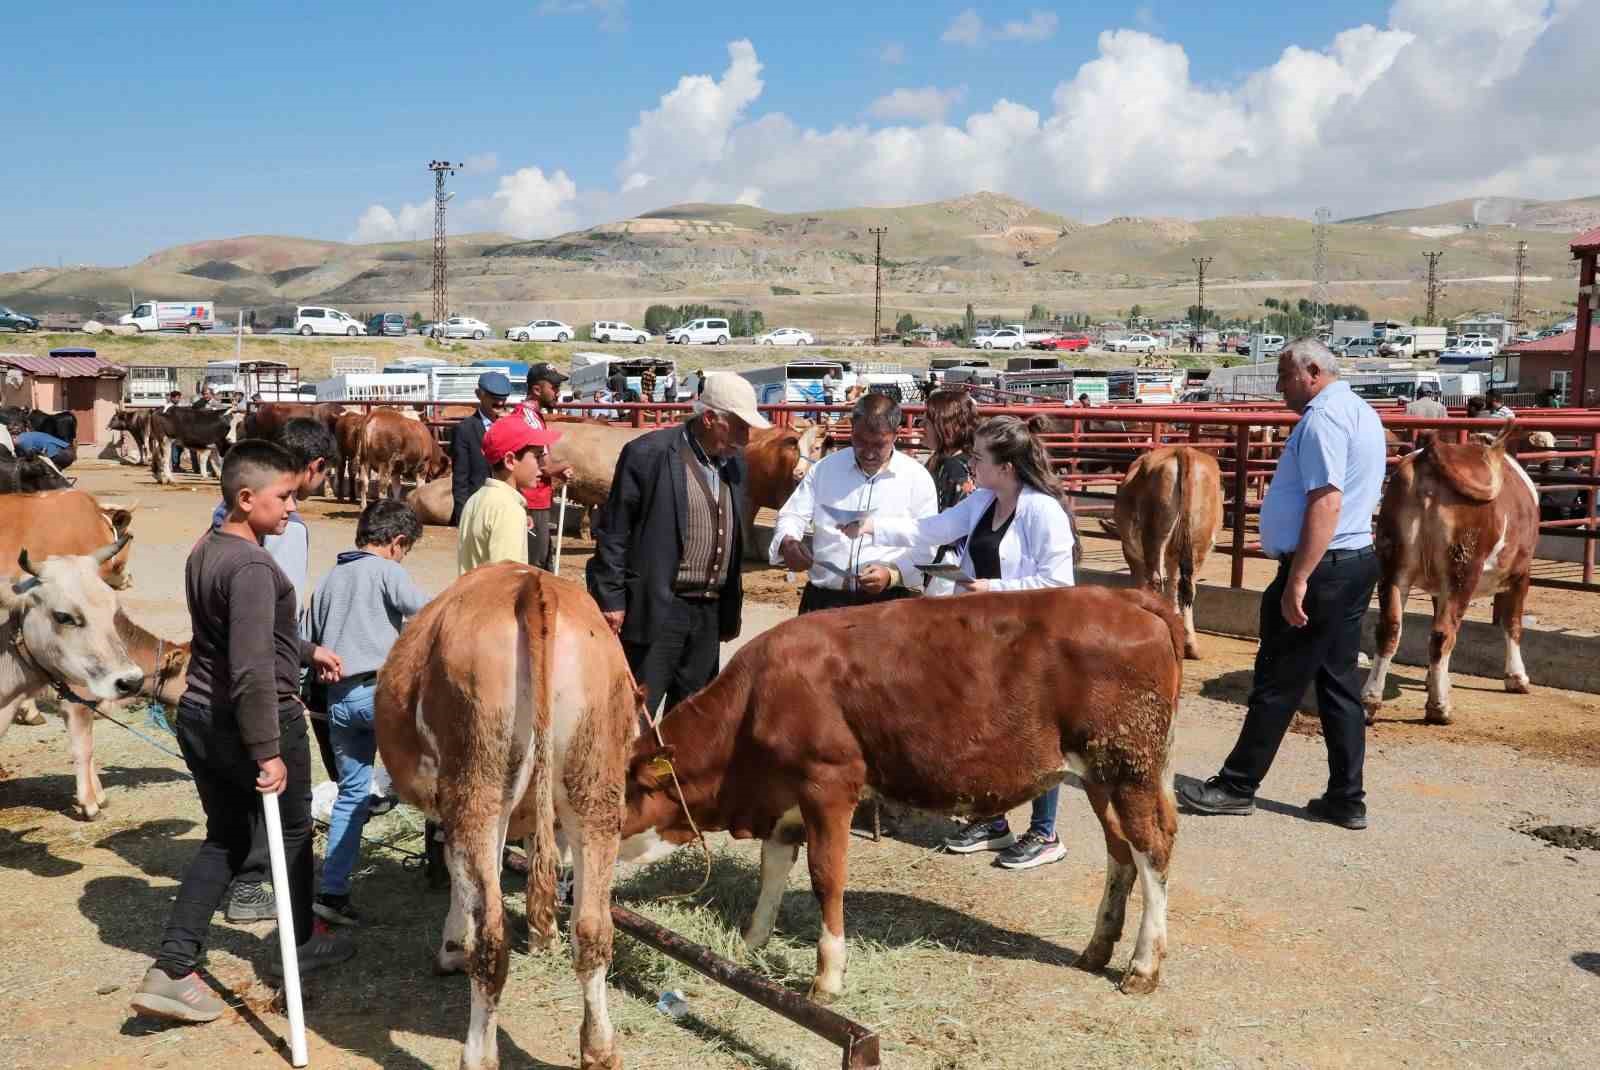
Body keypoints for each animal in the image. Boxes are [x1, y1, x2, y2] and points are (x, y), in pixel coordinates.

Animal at [377, 559, 640, 1068]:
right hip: (595, 788)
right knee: (593, 929)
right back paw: (599, 1049)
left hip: (477, 783)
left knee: (492, 940)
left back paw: (478, 1054)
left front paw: (451, 948)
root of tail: (534, 586)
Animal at [617, 585, 1184, 991]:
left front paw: (827, 977)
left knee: (1152, 850)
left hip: (1129, 766)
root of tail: (1126, 598)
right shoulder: (783, 801)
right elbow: (772, 870)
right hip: (1103, 776)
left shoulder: (829, 784)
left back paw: (1143, 967)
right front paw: (751, 943)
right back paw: (1097, 949)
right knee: (1121, 851)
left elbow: (827, 877)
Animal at [1113, 444, 1222, 658]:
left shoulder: (1131, 553)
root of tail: (1183, 450)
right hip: (1199, 541)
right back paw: (1191, 646)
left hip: (1153, 536)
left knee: (1155, 580)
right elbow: (1173, 584)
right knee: (1187, 586)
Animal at [1356, 422, 1542, 722]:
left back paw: (1370, 701)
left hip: (1392, 565)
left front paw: (1432, 679)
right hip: (1463, 570)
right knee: (1444, 632)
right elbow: (1512, 624)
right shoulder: (1520, 573)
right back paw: (1439, 707)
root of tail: (1432, 452)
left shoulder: (1437, 587)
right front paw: (1517, 678)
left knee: (1390, 629)